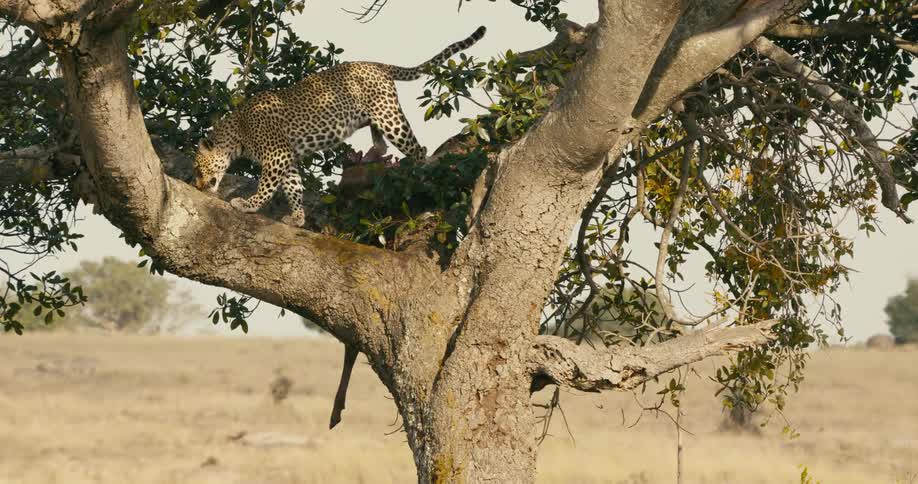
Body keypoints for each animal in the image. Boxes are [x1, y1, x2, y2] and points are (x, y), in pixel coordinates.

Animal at [192, 26, 487, 227]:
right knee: (381, 144)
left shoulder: (277, 155)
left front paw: (248, 205)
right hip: (374, 117)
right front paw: (297, 218)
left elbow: (267, 186)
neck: (237, 134)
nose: (198, 186)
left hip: (389, 117)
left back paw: (418, 174)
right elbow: (293, 187)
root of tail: (377, 64)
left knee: (418, 149)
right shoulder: (287, 158)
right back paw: (373, 156)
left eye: (197, 167)